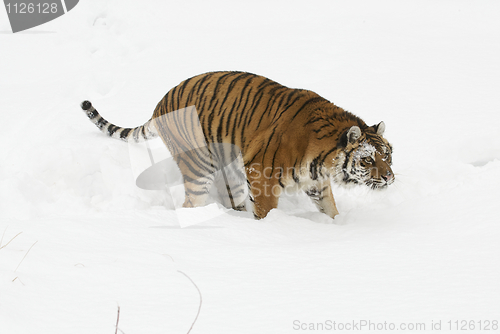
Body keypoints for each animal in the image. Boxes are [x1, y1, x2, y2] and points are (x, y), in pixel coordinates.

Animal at [80, 71, 394, 219]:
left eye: (388, 155)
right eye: (367, 159)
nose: (390, 178)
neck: (324, 159)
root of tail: (160, 103)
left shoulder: (316, 182)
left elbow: (331, 210)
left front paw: (338, 228)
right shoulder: (263, 175)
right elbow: (267, 211)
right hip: (200, 165)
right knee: (190, 204)